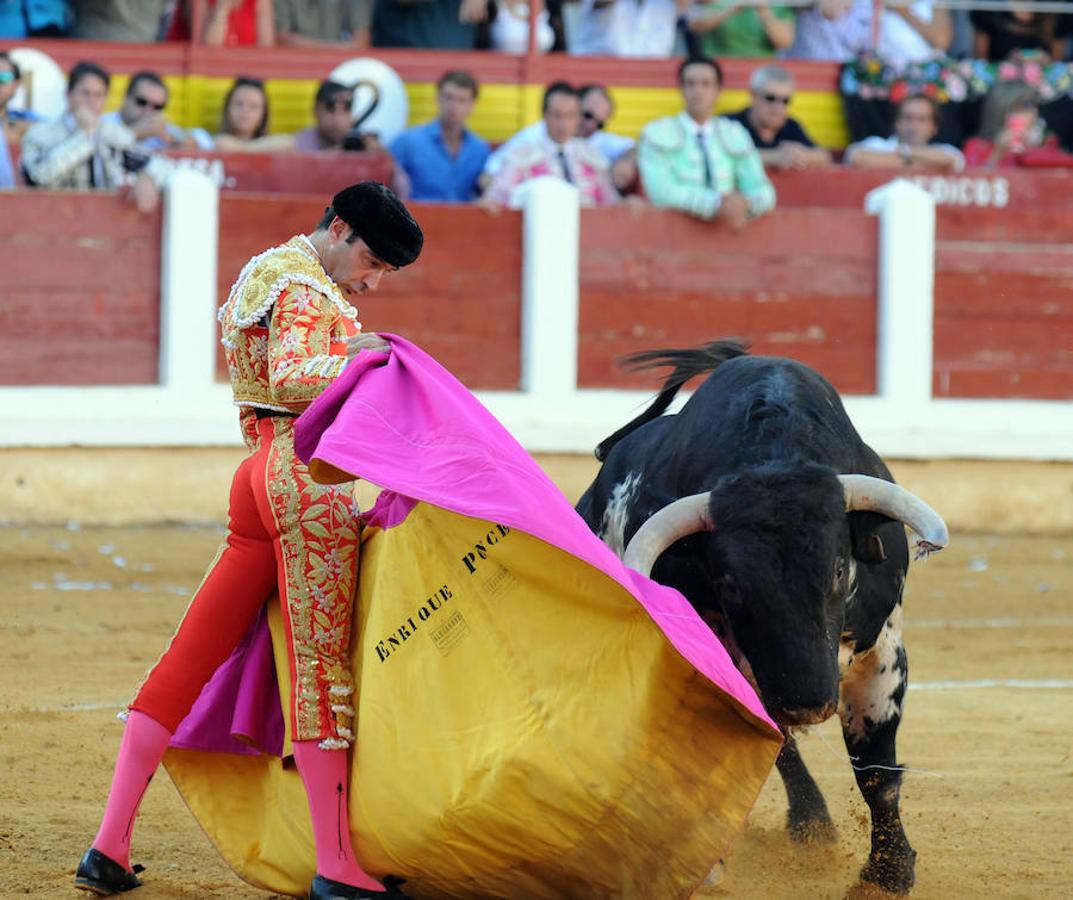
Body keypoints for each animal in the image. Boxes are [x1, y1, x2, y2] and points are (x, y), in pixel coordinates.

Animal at [579, 343, 948, 892]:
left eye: (840, 568)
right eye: (730, 583)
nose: (807, 704)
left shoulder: (882, 651)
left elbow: (876, 770)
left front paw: (889, 872)